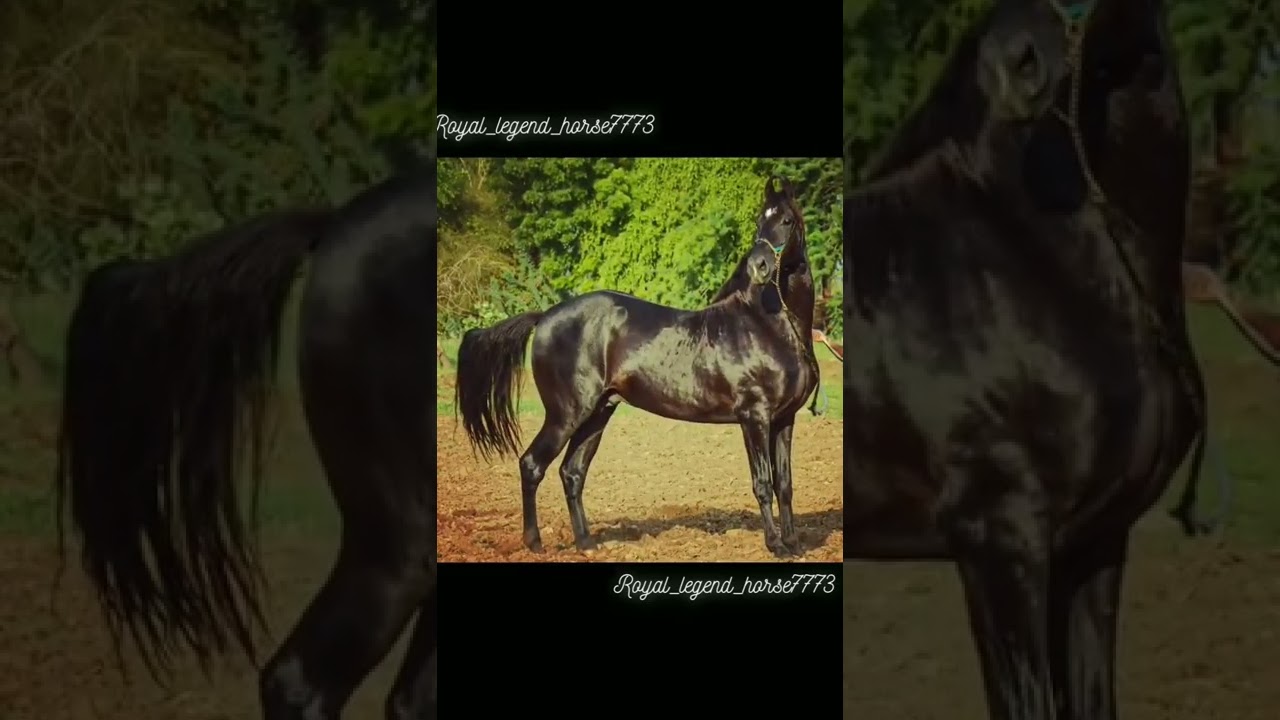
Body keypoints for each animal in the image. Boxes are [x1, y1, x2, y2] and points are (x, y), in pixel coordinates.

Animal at [454, 176, 819, 558]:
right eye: (759, 222)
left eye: (786, 221)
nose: (759, 266)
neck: (766, 325)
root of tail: (545, 317)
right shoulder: (754, 416)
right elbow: (762, 482)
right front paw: (776, 545)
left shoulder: (784, 419)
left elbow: (785, 484)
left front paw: (794, 543)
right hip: (565, 415)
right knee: (531, 465)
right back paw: (535, 543)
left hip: (598, 413)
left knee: (572, 472)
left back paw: (586, 543)